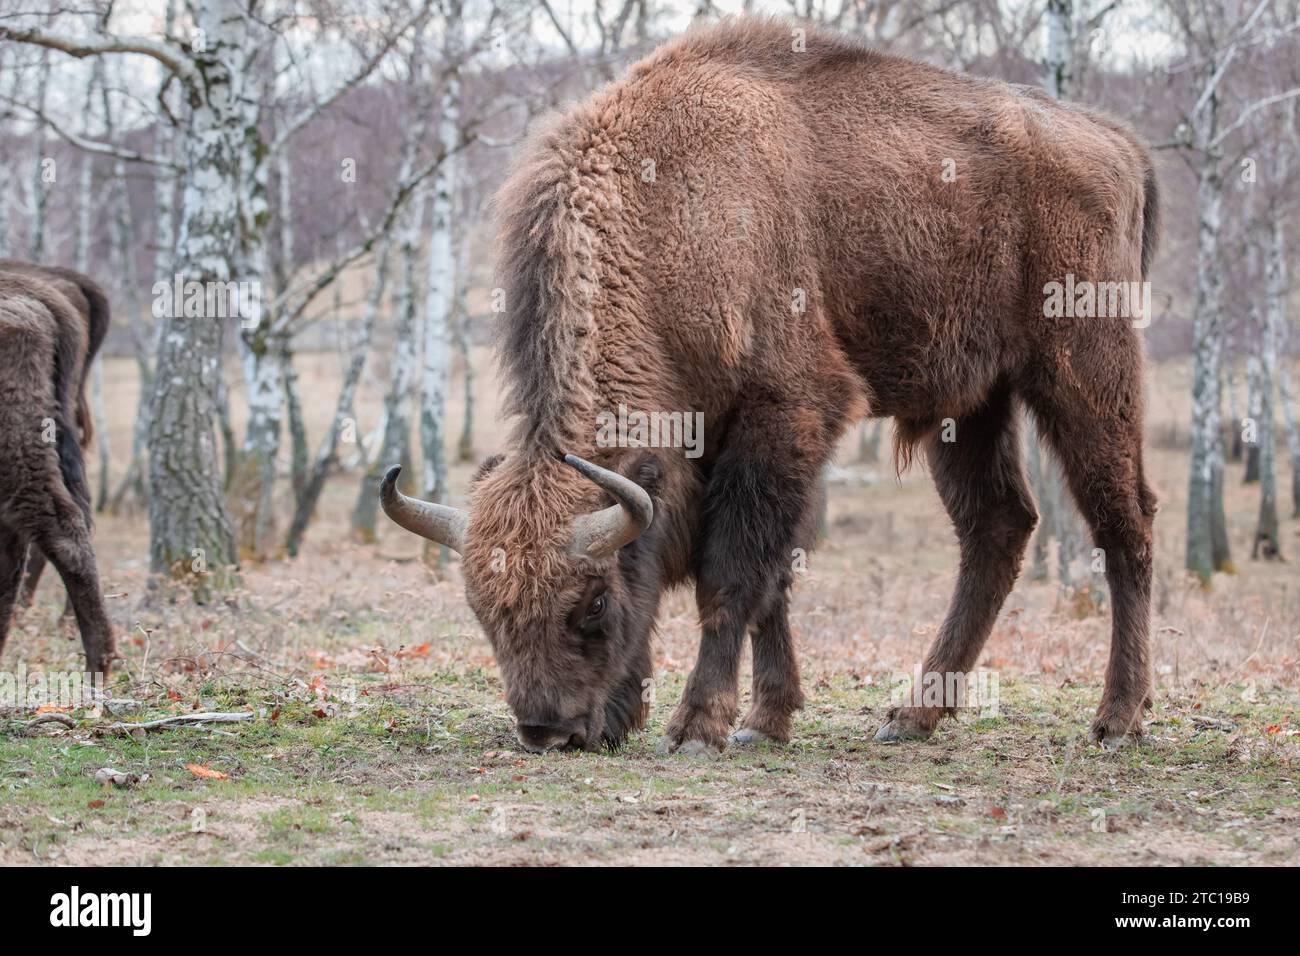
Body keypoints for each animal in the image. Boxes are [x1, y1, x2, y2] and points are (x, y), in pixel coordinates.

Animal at [379, 18, 1159, 754]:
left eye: (592, 603)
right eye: (484, 611)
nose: (548, 730)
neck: (662, 216)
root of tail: (1121, 145)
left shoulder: (787, 410)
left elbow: (732, 573)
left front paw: (698, 727)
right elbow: (770, 580)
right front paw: (764, 720)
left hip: (1087, 368)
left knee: (1125, 525)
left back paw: (1117, 719)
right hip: (969, 404)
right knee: (996, 528)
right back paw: (911, 715)